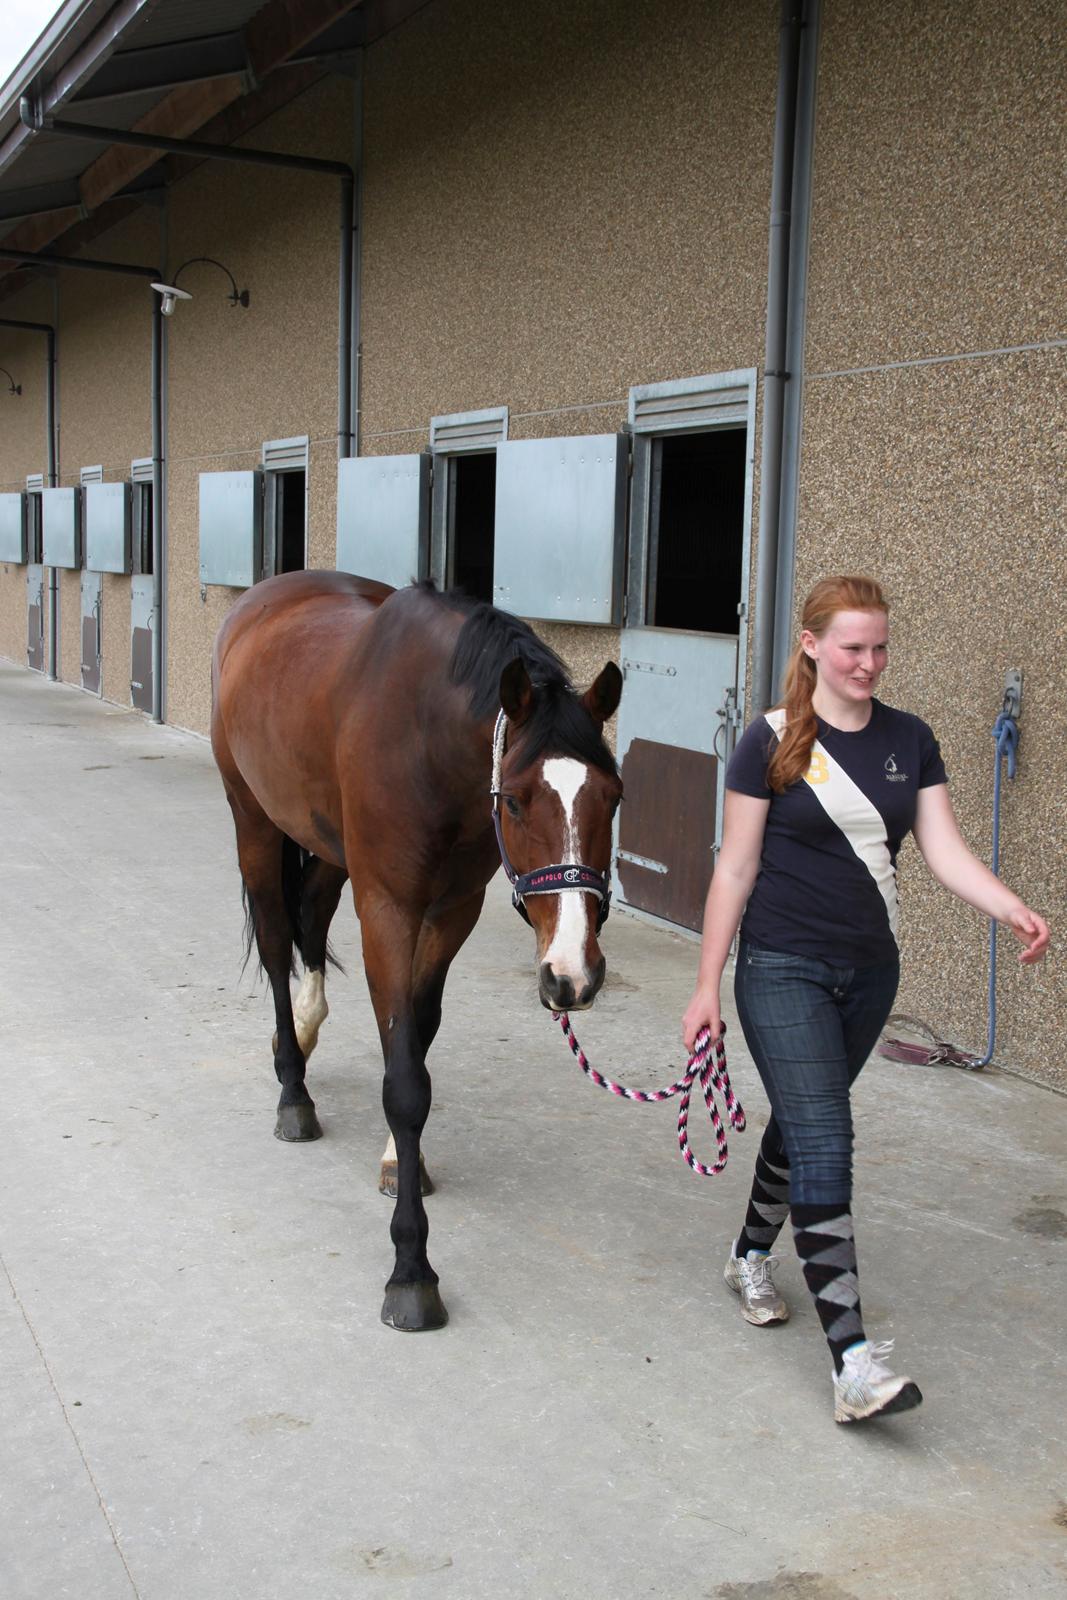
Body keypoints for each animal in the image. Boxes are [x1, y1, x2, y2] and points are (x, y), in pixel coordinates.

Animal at [209, 569, 620, 1331]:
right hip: (253, 818)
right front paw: (410, 1269)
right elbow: (403, 1082)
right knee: (279, 941)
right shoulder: (388, 909)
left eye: (613, 795)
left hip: (327, 840)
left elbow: (417, 1041)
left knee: (312, 914)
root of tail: (261, 599)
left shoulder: (453, 910)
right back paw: (292, 1090)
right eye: (516, 801)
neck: (425, 740)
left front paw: (402, 1162)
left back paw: (305, 1031)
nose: (571, 976)